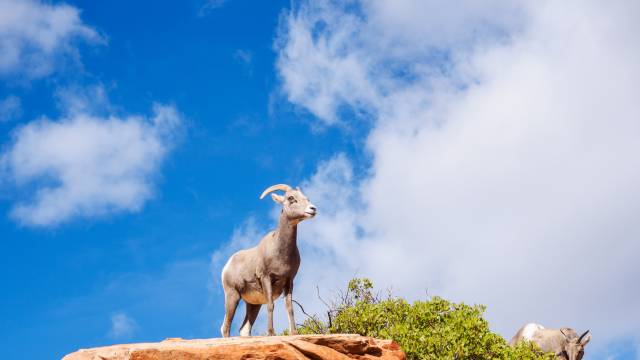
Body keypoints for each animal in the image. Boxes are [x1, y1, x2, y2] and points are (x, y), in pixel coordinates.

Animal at [220, 183, 318, 338]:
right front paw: (271, 333)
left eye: (306, 198)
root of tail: (227, 266)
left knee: (244, 329)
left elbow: (289, 308)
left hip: (253, 304)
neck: (280, 252)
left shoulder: (289, 281)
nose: (312, 209)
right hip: (232, 295)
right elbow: (271, 305)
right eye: (291, 198)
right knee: (226, 327)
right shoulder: (266, 278)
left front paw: (294, 333)